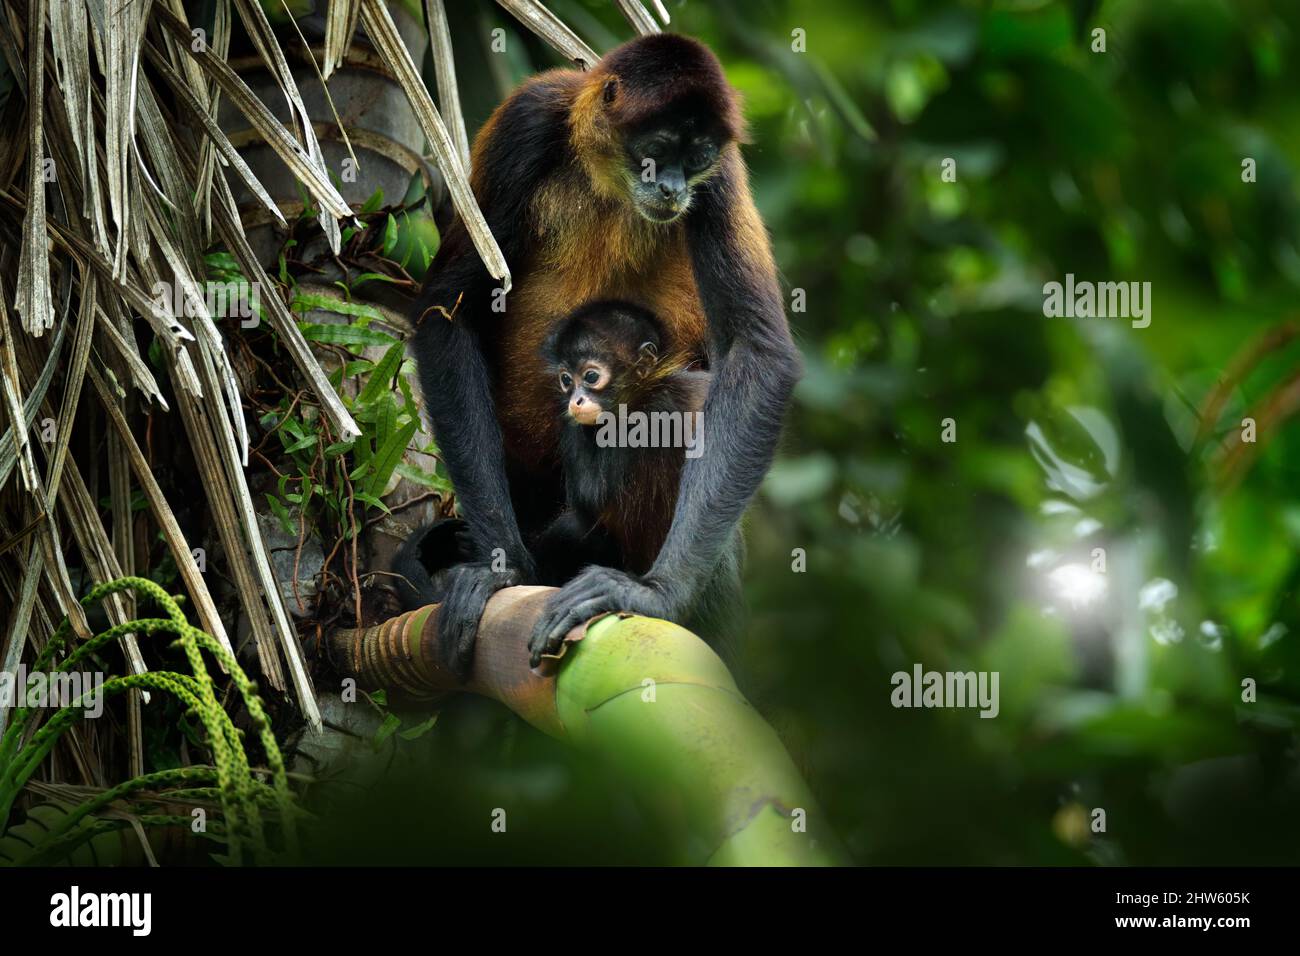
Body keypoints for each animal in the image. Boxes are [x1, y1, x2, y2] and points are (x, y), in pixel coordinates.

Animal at [405, 32, 800, 677]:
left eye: (696, 157)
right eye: (657, 152)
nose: (671, 188)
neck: (612, 181)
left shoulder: (721, 175)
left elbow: (755, 349)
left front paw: (658, 592)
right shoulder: (530, 118)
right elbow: (448, 310)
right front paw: (503, 569)